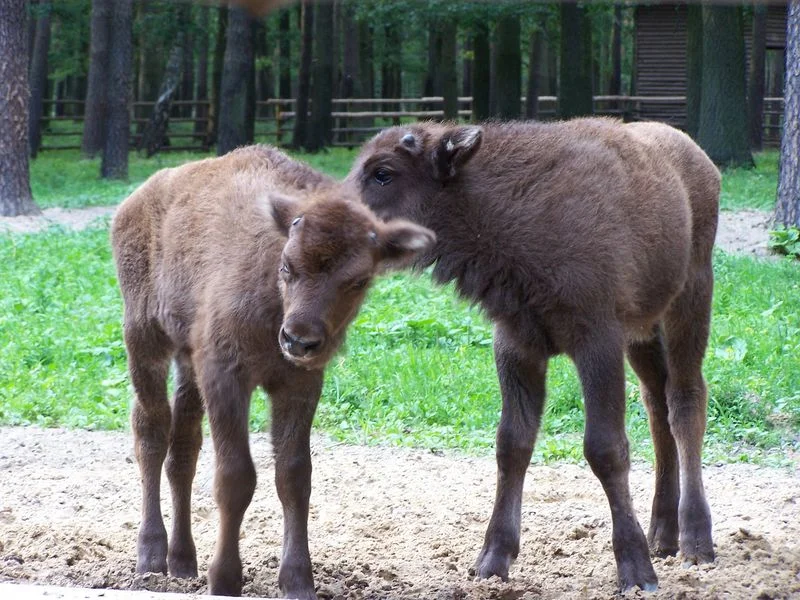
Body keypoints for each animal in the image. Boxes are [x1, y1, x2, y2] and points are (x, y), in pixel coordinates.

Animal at [111, 144, 434, 596]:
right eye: (287, 265)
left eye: (358, 281)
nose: (299, 340)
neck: (274, 301)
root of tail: (135, 200)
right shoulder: (226, 377)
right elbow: (235, 477)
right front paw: (225, 579)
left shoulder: (298, 383)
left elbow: (294, 476)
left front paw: (298, 581)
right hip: (144, 338)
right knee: (151, 434)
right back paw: (152, 557)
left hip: (187, 362)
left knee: (183, 451)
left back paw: (183, 561)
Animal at [346, 119, 720, 592]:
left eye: (383, 173)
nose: (310, 218)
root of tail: (701, 159)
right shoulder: (517, 346)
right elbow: (513, 443)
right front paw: (491, 560)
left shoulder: (597, 342)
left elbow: (605, 448)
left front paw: (636, 572)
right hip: (644, 331)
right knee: (657, 405)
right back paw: (662, 536)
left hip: (690, 300)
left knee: (686, 401)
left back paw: (695, 543)